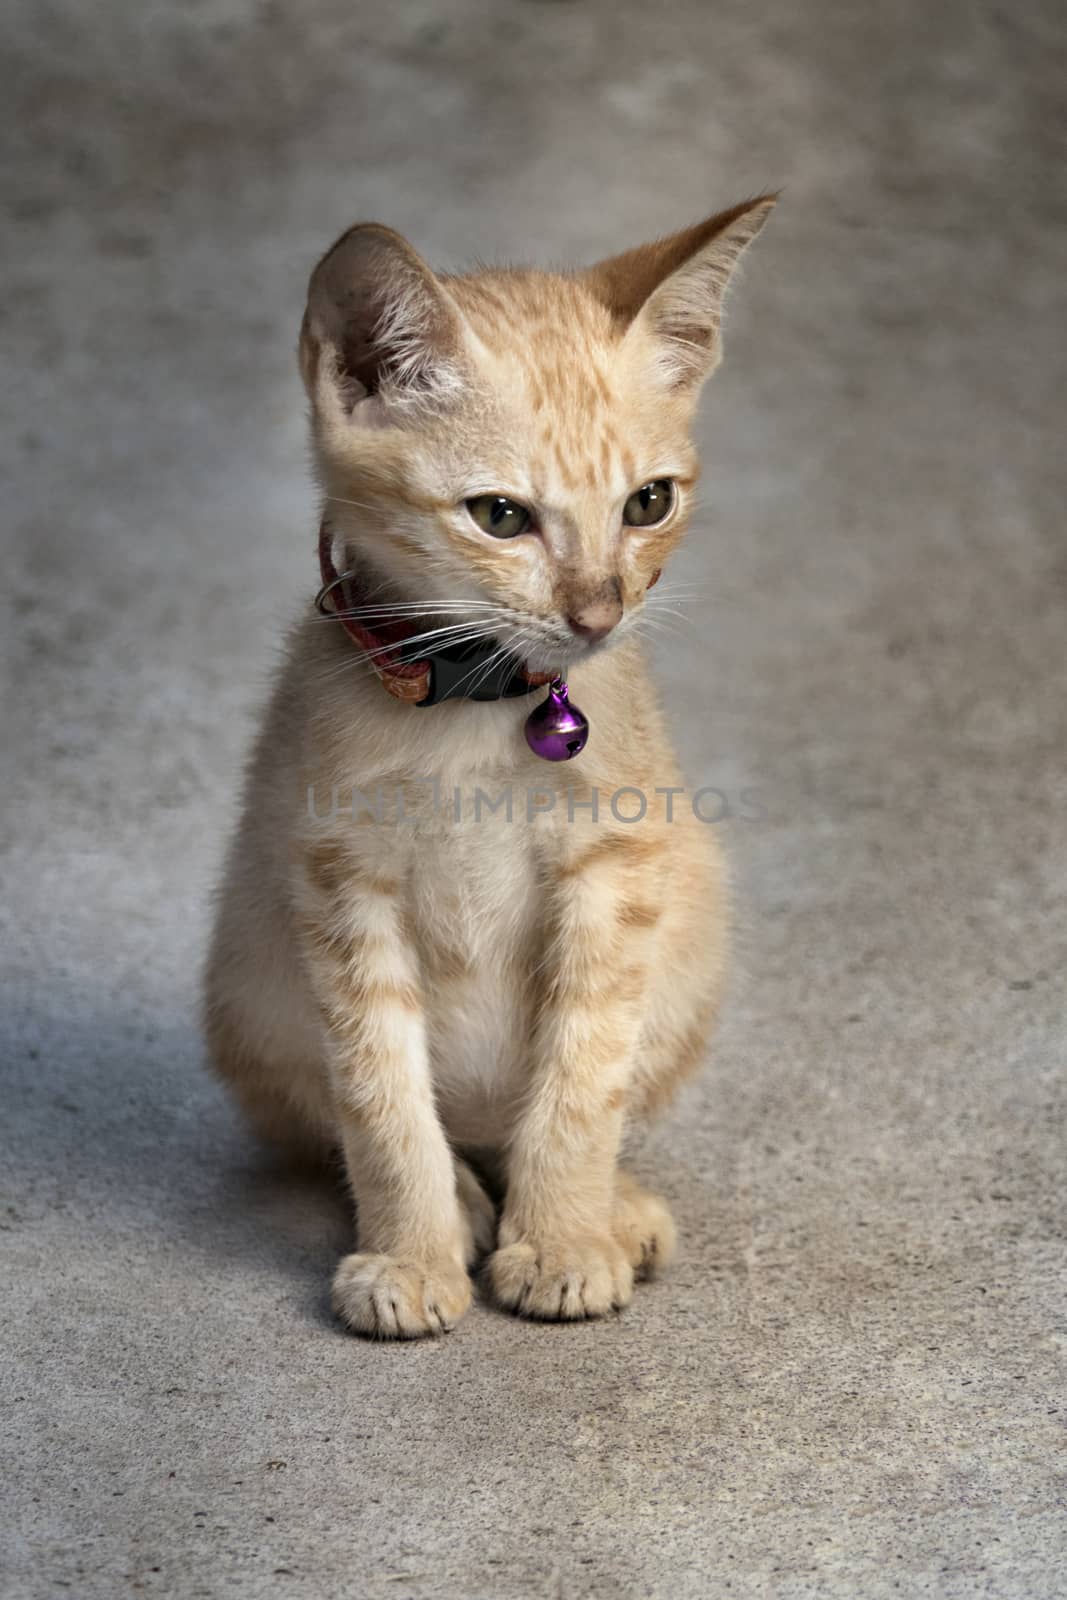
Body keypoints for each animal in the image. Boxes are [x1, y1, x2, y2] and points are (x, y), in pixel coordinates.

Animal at [204, 193, 777, 1331]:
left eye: (647, 503)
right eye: (499, 516)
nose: (598, 614)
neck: (477, 707)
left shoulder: (614, 872)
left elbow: (582, 1079)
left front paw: (561, 1238)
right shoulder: (339, 881)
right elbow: (380, 1101)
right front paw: (413, 1256)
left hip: (692, 940)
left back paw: (610, 1208)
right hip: (246, 981)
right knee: (353, 1126)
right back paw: (464, 1204)